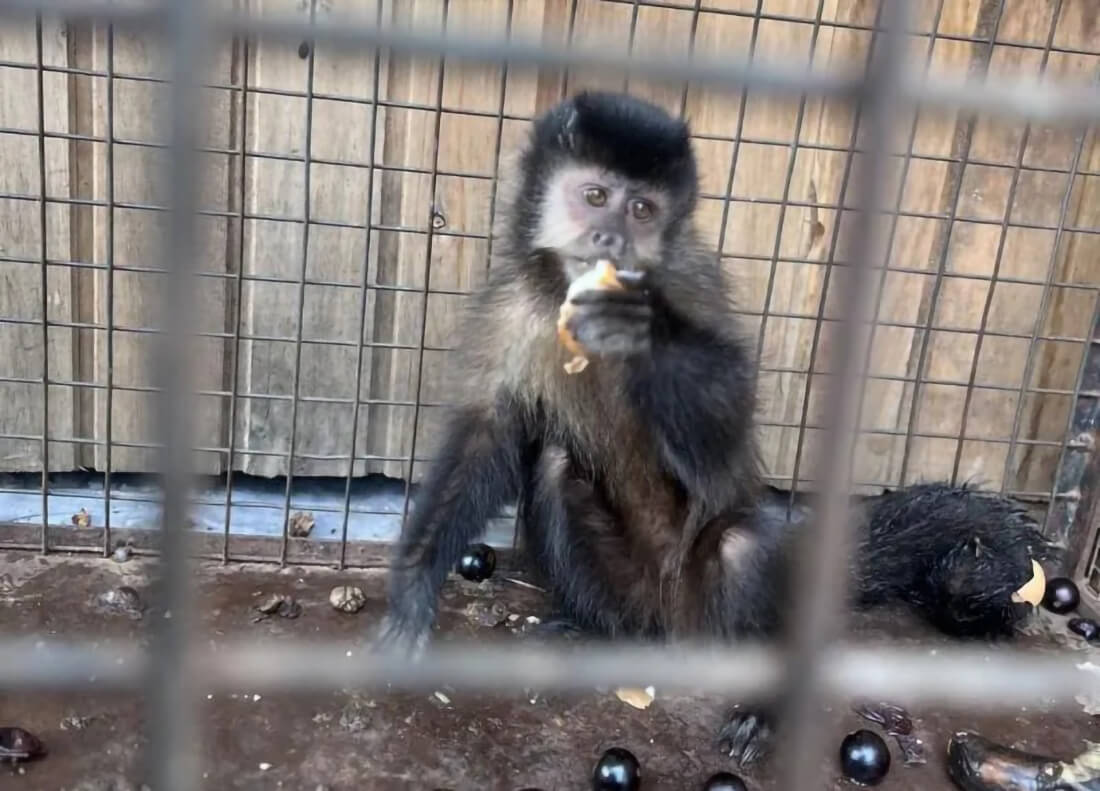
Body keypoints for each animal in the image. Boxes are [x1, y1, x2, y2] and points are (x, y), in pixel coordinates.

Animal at [375, 90, 1058, 767]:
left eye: (643, 211)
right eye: (595, 196)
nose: (610, 237)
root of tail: (672, 626)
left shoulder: (689, 277)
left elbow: (723, 438)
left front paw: (645, 326)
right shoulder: (513, 300)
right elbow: (487, 435)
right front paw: (412, 592)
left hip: (710, 610)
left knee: (740, 543)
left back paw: (762, 698)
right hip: (630, 593)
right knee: (555, 467)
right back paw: (598, 633)